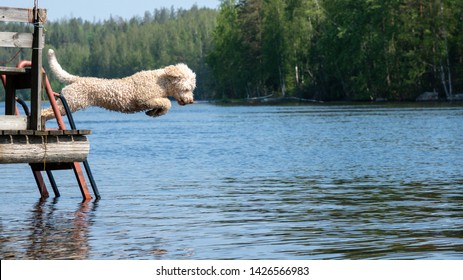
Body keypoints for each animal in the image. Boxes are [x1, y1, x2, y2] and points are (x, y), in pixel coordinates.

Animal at [41, 49, 196, 120]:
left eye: (192, 89)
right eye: (186, 88)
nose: (190, 101)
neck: (160, 82)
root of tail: (77, 79)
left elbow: (164, 106)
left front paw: (153, 112)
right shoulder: (144, 98)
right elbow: (166, 103)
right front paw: (155, 111)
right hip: (70, 103)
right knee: (47, 111)